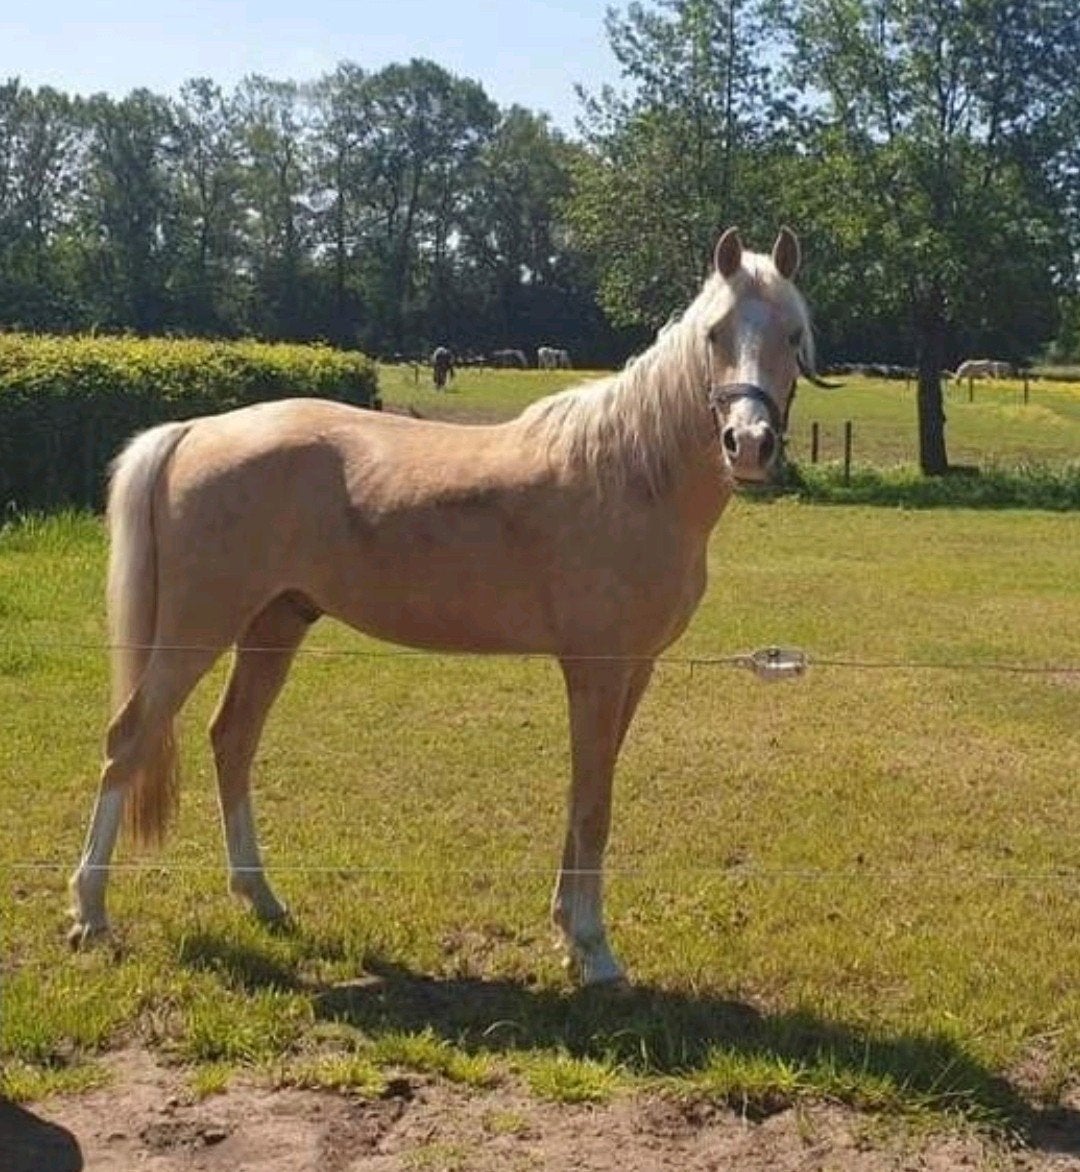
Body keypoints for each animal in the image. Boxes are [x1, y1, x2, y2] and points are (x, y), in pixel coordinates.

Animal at [68, 226, 822, 985]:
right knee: (128, 739)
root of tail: (195, 429)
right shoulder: (597, 671)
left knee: (232, 740)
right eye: (714, 333)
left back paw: (263, 900)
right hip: (197, 629)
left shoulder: (632, 672)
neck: (634, 475)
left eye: (792, 334)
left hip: (273, 623)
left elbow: (588, 790)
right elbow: (593, 803)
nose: (749, 444)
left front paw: (568, 931)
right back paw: (89, 913)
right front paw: (594, 948)